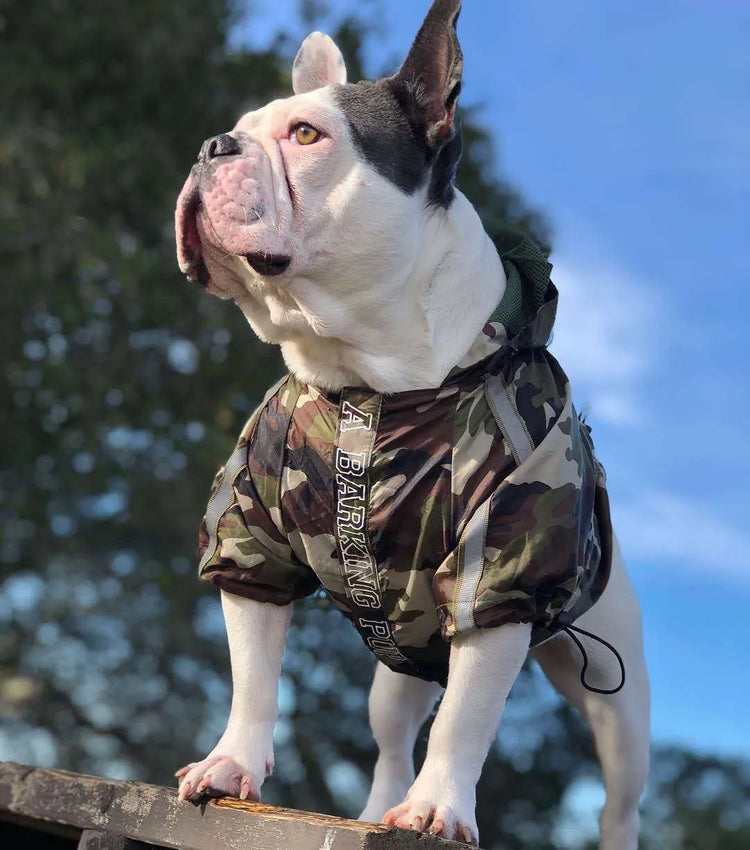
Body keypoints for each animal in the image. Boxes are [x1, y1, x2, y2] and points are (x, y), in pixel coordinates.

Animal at [173, 0, 648, 844]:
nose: (210, 147)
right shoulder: (251, 536)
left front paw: (437, 809)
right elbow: (253, 672)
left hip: (618, 702)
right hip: (396, 675)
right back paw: (372, 809)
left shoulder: (502, 573)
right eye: (238, 130)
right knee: (394, 739)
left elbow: (465, 722)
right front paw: (231, 762)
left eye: (307, 135)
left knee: (617, 799)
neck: (370, 382)